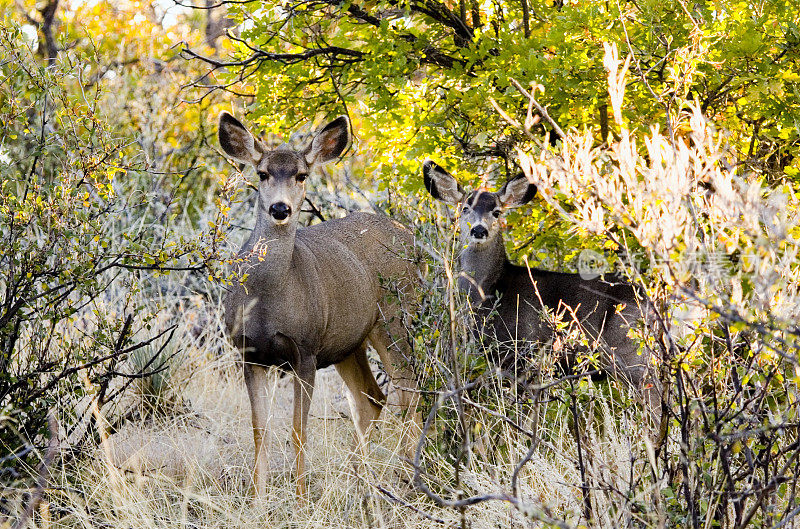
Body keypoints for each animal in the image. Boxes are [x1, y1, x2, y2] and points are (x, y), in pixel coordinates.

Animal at [216, 112, 422, 500]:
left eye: (301, 175)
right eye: (262, 173)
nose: (280, 208)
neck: (268, 300)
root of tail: (409, 235)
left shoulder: (306, 349)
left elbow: (299, 431)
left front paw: (299, 500)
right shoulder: (249, 353)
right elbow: (259, 430)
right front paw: (258, 500)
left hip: (395, 321)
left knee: (409, 393)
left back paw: (405, 481)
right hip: (348, 342)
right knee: (371, 398)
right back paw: (359, 480)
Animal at [422, 159, 660, 414]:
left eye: (496, 211)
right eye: (465, 208)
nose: (479, 230)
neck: (490, 292)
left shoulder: (521, 349)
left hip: (631, 352)